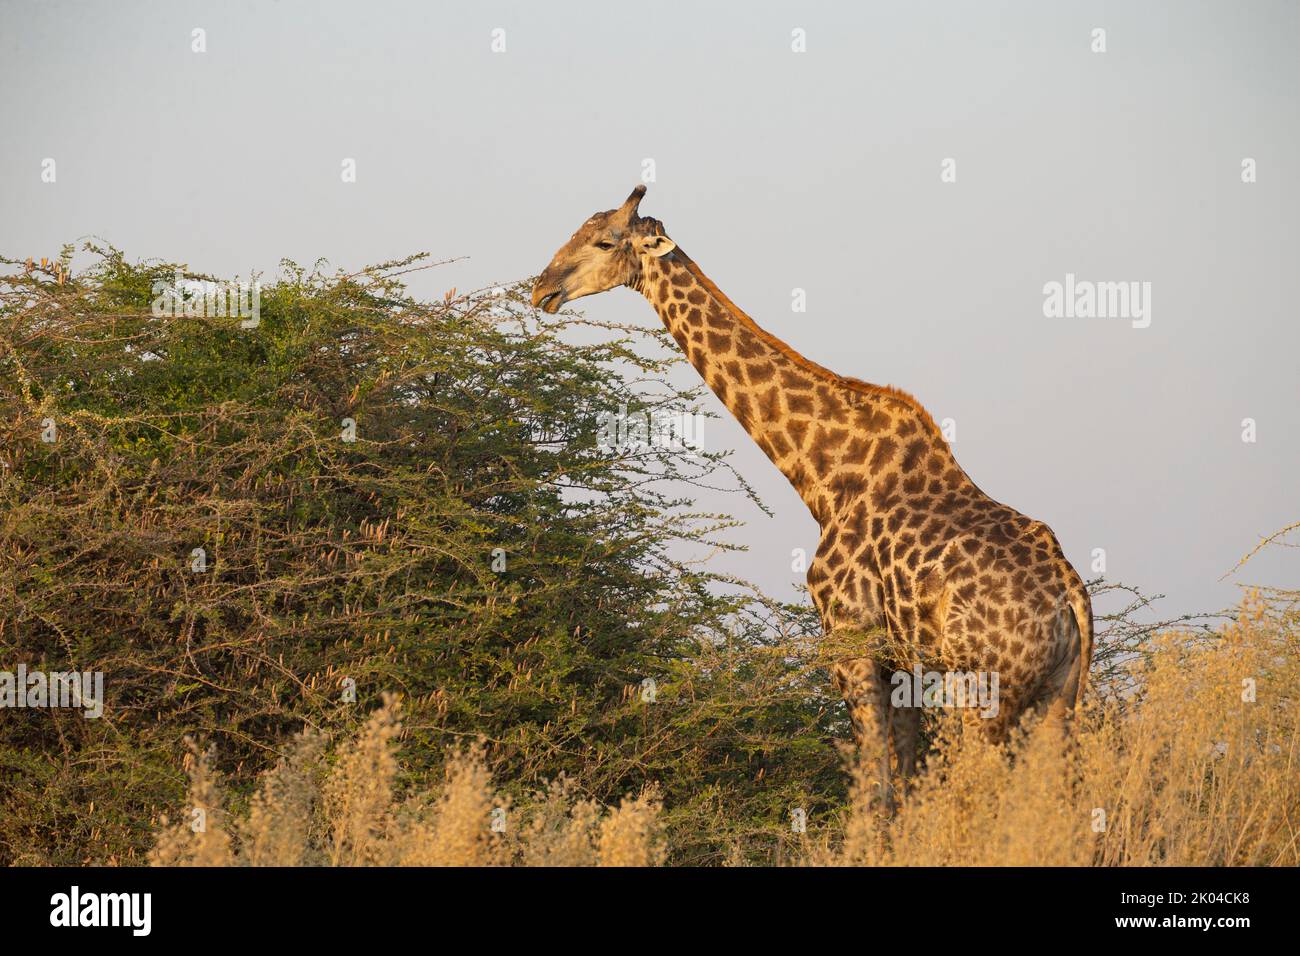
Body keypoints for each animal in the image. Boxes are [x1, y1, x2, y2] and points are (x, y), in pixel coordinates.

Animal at [531, 186, 1093, 811]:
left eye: (605, 241)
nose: (541, 288)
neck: (821, 475)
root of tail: (1073, 599)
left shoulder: (848, 640)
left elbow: (875, 792)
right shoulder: (900, 659)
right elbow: (904, 786)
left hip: (986, 693)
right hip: (1054, 699)